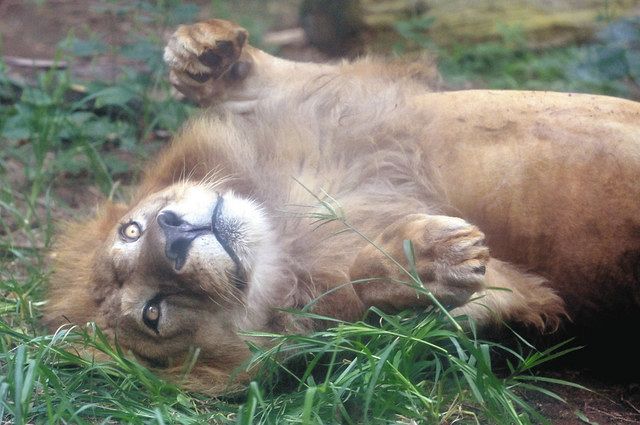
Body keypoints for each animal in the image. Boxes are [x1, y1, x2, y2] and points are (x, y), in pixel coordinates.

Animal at [45, 19, 640, 390]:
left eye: (131, 230)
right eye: (154, 312)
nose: (172, 235)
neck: (288, 228)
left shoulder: (333, 97)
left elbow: (276, 78)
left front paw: (202, 53)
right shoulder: (511, 302)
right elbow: (378, 293)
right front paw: (425, 259)